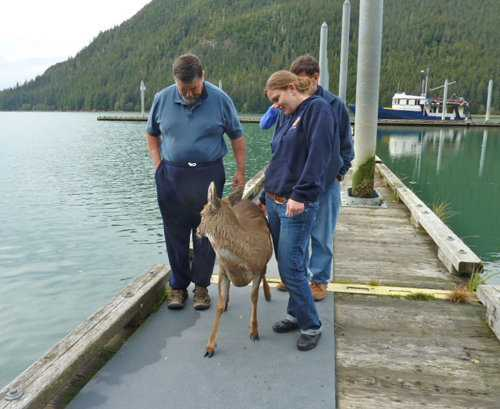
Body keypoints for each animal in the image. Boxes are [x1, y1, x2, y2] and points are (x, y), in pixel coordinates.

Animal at [196, 181, 274, 358]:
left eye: (201, 213)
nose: (197, 231)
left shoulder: (258, 268)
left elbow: (254, 297)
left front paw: (254, 332)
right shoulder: (223, 271)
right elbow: (219, 304)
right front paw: (210, 347)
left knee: (266, 274)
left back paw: (268, 294)